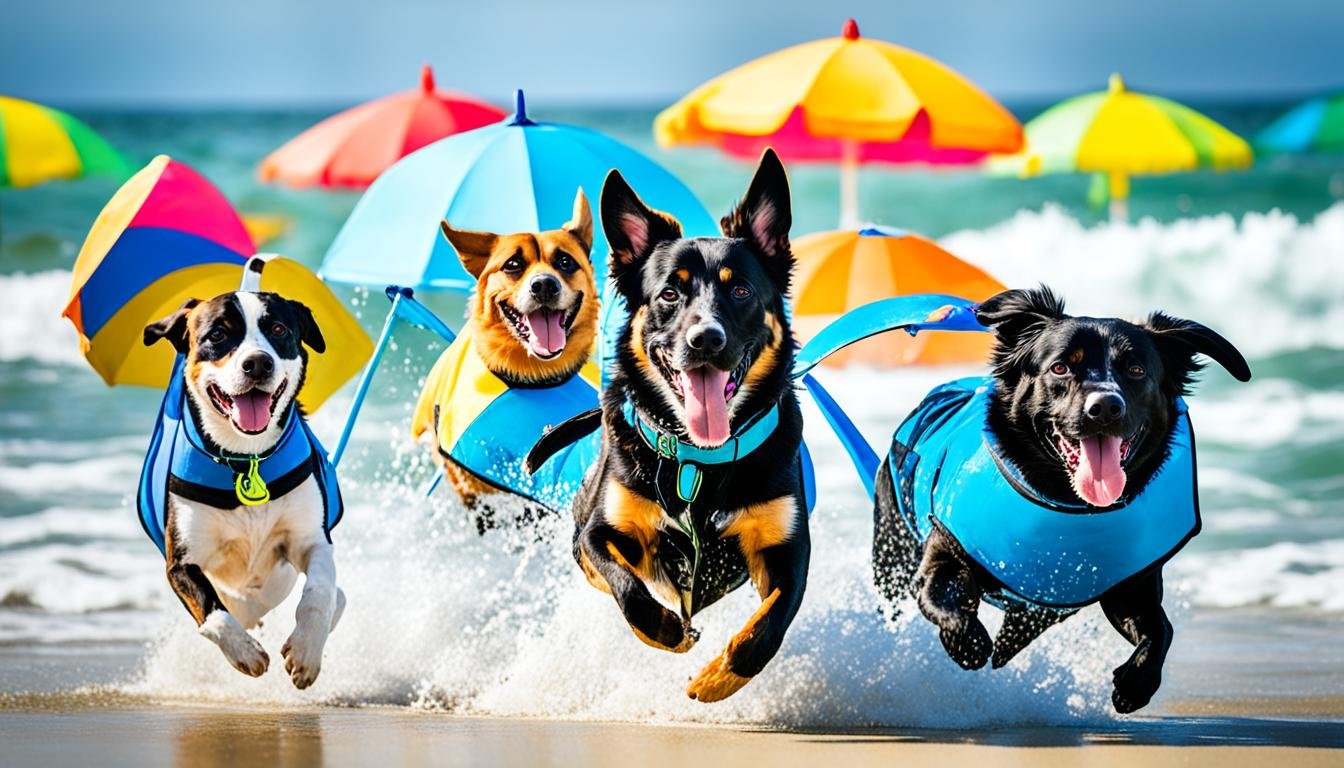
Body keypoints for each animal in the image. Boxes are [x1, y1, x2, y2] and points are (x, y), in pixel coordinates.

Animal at [529, 148, 806, 704]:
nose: (706, 340)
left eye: (741, 289)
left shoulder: (787, 549)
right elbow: (627, 587)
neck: (701, 460)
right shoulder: (597, 534)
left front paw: (718, 678)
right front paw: (668, 631)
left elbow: (768, 626)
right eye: (669, 295)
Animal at [870, 287, 1247, 715]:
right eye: (1060, 368)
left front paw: (1136, 683)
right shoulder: (944, 551)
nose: (1105, 407)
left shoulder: (1132, 585)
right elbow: (941, 595)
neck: (1065, 500)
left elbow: (1160, 630)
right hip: (891, 547)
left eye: (1136, 370)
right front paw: (967, 643)